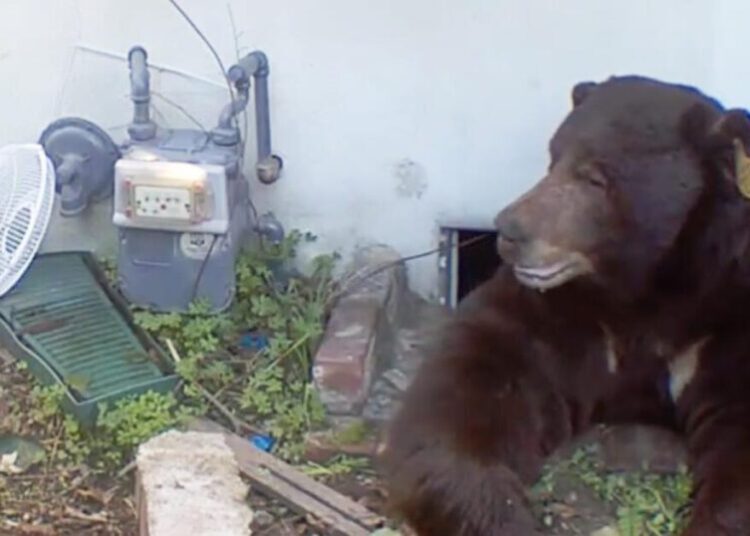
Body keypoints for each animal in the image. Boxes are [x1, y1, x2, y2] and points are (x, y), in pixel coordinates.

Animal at [378, 75, 750, 535]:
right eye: (552, 158)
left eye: (595, 178)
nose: (509, 230)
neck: (642, 291)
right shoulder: (558, 316)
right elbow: (467, 399)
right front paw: (505, 514)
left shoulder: (722, 319)